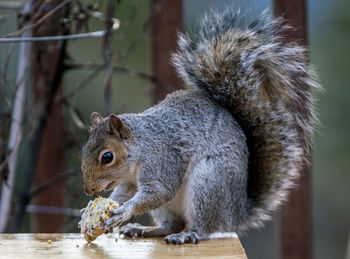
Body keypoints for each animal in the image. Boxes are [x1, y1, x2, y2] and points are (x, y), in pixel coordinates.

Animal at [80, 9, 318, 246]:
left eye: (107, 157)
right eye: (83, 151)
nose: (88, 189)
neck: (140, 148)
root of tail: (236, 213)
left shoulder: (162, 160)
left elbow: (159, 191)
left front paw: (124, 211)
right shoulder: (130, 182)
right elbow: (123, 193)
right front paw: (95, 208)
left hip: (209, 182)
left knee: (204, 227)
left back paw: (187, 234)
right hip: (174, 206)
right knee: (172, 224)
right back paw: (144, 230)